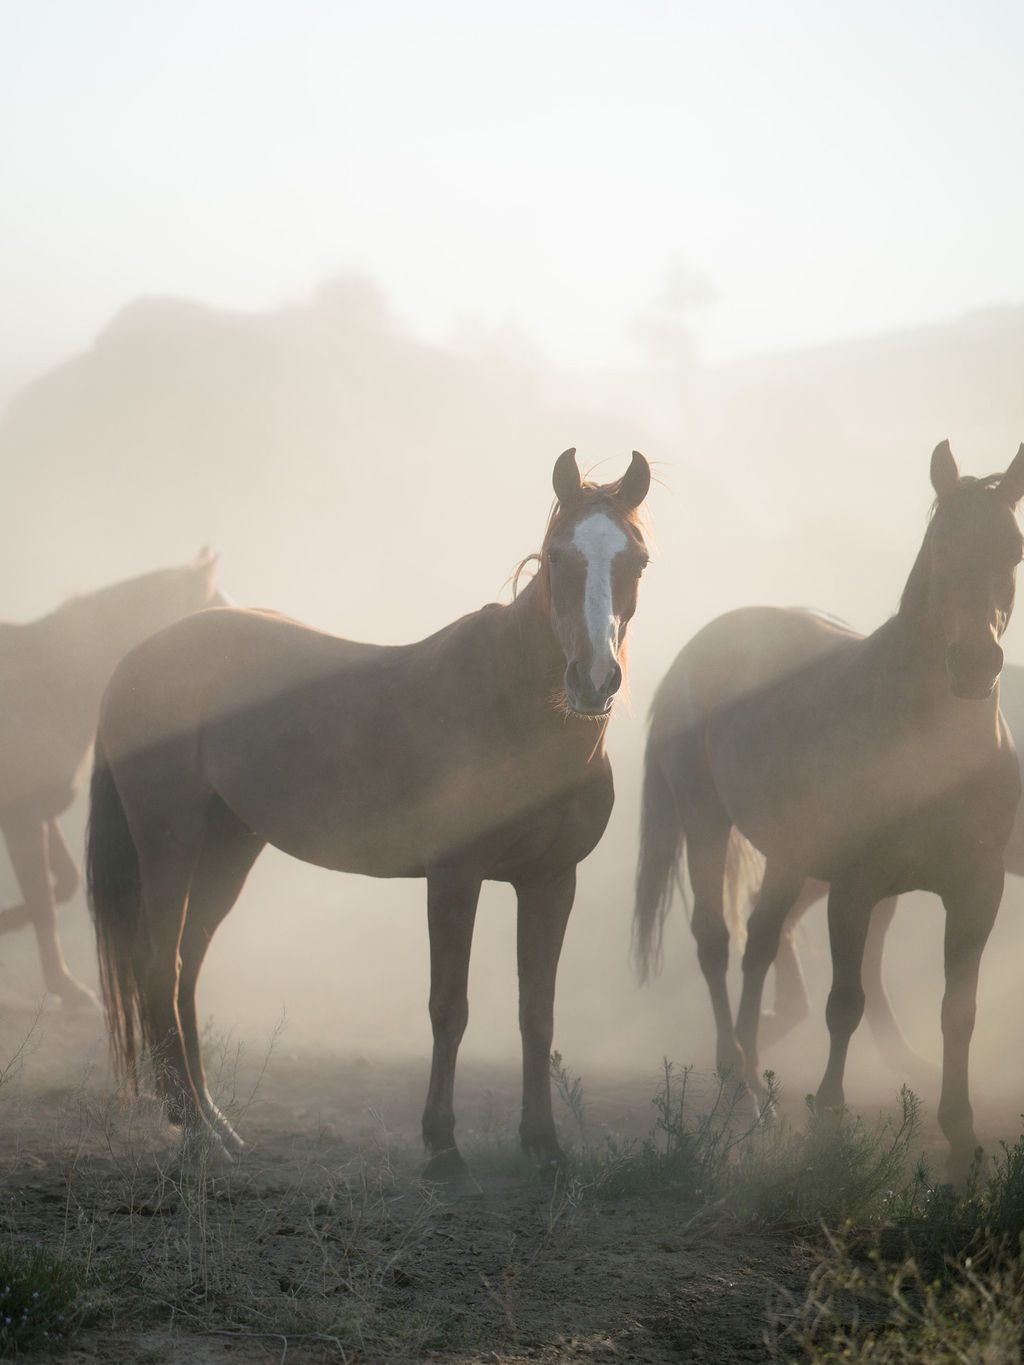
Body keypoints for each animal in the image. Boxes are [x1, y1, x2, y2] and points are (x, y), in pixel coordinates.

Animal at [0, 550, 225, 1007]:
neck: (47, 684)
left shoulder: (41, 813)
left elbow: (64, 884)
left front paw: (7, 920)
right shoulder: (22, 816)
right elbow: (45, 903)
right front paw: (65, 986)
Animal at [86, 449, 651, 1188]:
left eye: (636, 560)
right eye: (558, 555)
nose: (594, 680)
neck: (511, 707)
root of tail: (140, 657)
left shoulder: (551, 880)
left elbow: (538, 1013)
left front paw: (545, 1147)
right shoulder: (454, 877)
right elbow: (449, 1007)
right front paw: (442, 1149)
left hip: (227, 845)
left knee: (185, 966)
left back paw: (215, 1121)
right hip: (169, 841)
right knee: (158, 965)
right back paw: (194, 1130)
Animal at [634, 442, 1024, 1180]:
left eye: (1013, 549)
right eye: (941, 548)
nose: (974, 664)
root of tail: (699, 648)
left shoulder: (977, 889)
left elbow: (958, 1011)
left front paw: (962, 1137)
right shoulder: (855, 885)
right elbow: (845, 1001)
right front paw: (830, 1120)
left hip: (789, 856)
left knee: (761, 942)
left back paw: (754, 1076)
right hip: (707, 822)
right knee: (716, 940)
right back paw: (735, 1081)